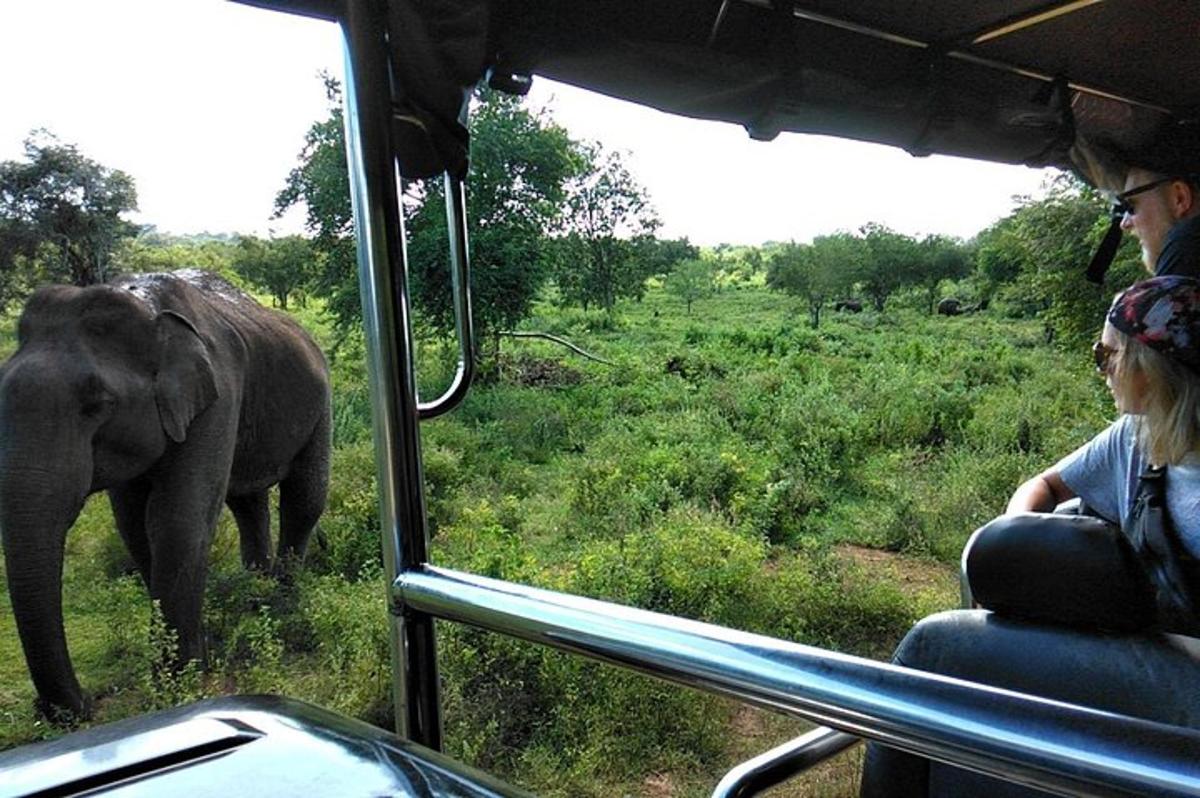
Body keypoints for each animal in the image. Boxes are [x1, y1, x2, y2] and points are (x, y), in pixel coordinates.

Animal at [0, 267, 331, 715]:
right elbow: (134, 527)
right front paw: (196, 656)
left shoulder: (218, 393)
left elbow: (176, 521)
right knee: (247, 503)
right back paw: (254, 596)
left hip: (320, 399)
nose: (80, 707)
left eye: (98, 405)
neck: (149, 312)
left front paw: (180, 680)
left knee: (304, 496)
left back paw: (280, 602)